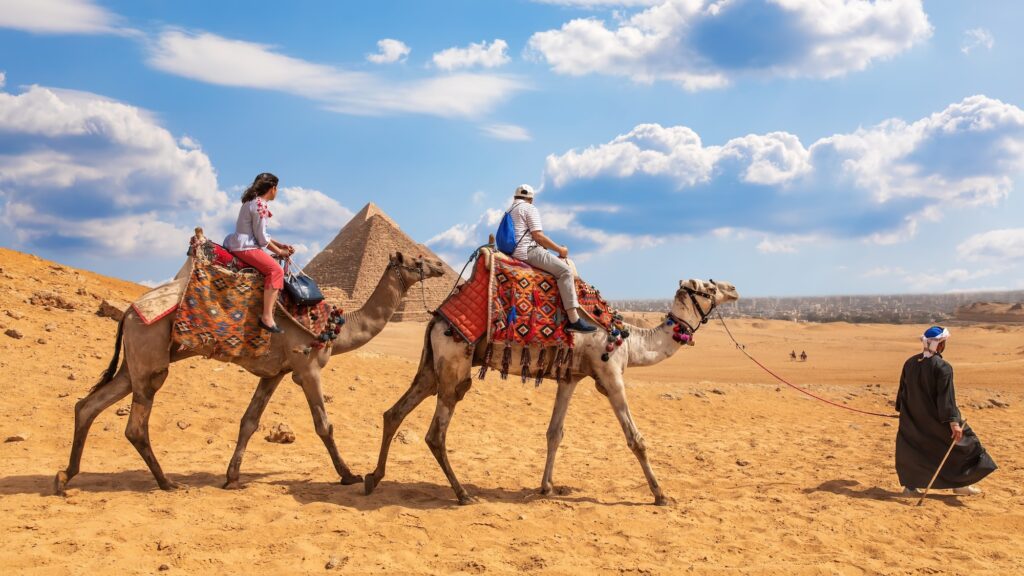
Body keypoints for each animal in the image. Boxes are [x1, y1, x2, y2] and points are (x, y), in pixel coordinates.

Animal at [55, 251, 447, 495]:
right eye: (417, 260)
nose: (441, 264)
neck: (337, 326)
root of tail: (128, 312)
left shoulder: (274, 373)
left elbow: (249, 422)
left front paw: (232, 477)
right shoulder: (306, 367)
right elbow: (324, 425)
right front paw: (349, 475)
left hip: (134, 363)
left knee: (88, 405)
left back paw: (64, 476)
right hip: (151, 359)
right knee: (135, 426)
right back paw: (166, 483)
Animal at [363, 277, 739, 505]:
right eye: (708, 288)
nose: (734, 288)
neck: (631, 341)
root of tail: (434, 318)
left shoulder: (570, 378)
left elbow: (554, 433)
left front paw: (546, 488)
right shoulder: (611, 374)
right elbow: (636, 439)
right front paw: (661, 495)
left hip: (432, 368)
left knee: (394, 412)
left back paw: (373, 478)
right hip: (455, 365)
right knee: (436, 433)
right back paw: (462, 493)